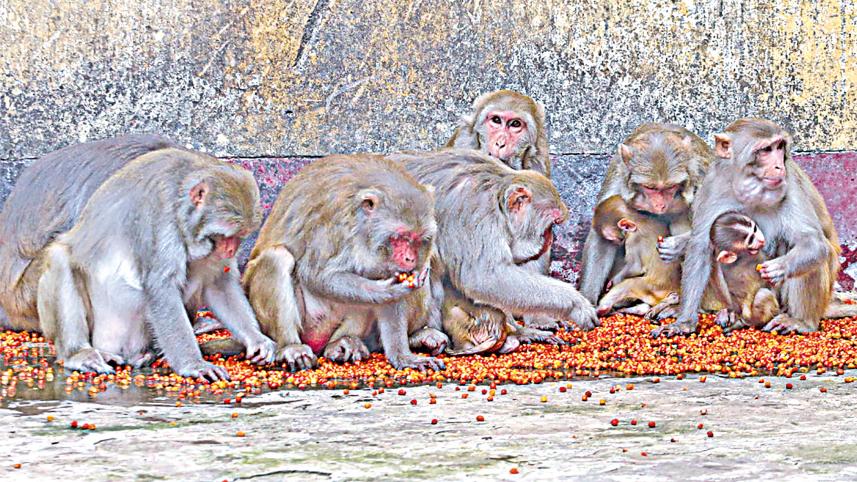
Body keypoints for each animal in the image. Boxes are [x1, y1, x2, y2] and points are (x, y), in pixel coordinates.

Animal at [28, 147, 275, 380]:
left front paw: (257, 339)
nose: (230, 250)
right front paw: (193, 364)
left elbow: (217, 282)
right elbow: (161, 287)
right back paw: (79, 354)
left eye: (240, 236)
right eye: (225, 236)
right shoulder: (160, 218)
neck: (180, 202)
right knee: (60, 258)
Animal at [243, 154, 446, 372]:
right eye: (401, 237)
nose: (410, 259)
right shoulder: (333, 223)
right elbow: (316, 275)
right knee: (278, 258)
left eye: (418, 239)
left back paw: (340, 344)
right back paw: (291, 347)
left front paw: (403, 356)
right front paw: (388, 290)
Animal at [388, 149, 599, 336]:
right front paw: (576, 304)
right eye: (551, 225)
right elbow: (484, 277)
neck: (497, 200)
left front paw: (539, 319)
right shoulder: (475, 214)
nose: (549, 240)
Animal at [580, 123, 713, 306]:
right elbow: (602, 239)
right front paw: (587, 299)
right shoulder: (618, 176)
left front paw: (676, 246)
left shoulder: (702, 176)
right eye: (651, 188)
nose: (660, 205)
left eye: (670, 187)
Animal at [653, 118, 842, 337]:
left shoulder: (790, 184)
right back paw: (731, 314)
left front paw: (780, 267)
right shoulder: (713, 184)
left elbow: (812, 242)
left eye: (779, 146)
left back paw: (802, 322)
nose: (779, 166)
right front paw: (684, 322)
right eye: (765, 150)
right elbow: (701, 246)